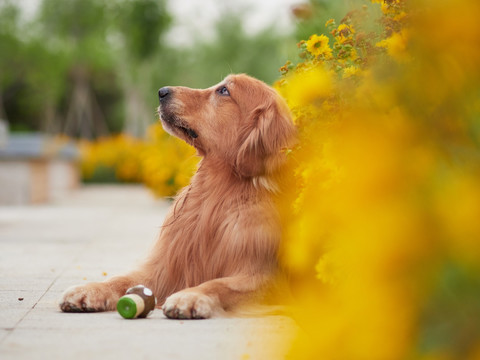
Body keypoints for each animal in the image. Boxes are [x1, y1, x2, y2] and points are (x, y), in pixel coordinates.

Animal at [60, 74, 296, 320]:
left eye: (224, 91)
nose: (162, 91)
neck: (218, 193)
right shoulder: (165, 268)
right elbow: (122, 279)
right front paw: (89, 289)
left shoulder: (263, 276)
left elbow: (220, 284)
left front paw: (191, 296)